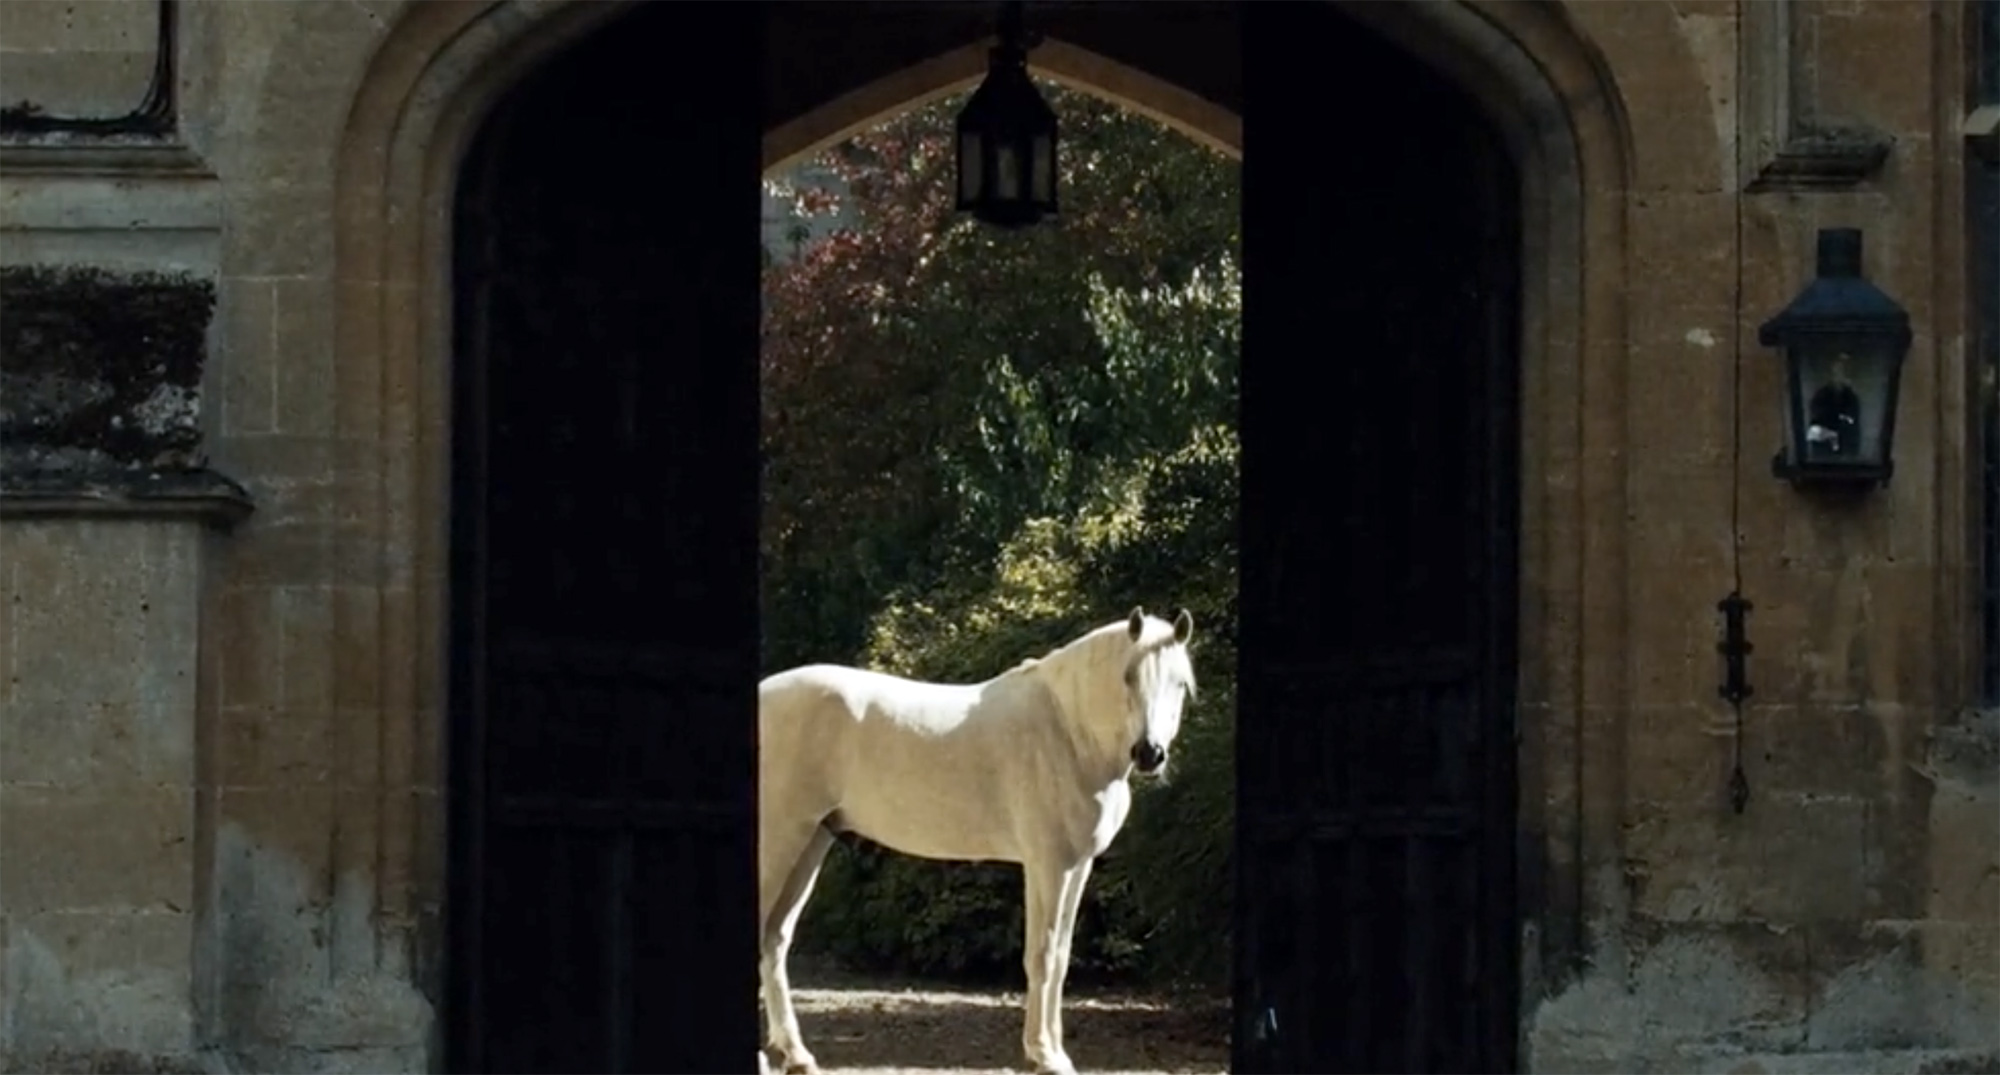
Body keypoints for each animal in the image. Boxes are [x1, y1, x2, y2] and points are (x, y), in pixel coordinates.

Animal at [755, 606, 1198, 1075]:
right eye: (1128, 676)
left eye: (1180, 683)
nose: (1149, 754)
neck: (1067, 733)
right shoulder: (1048, 865)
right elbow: (1041, 955)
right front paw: (1043, 1054)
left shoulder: (1077, 866)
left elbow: (1061, 957)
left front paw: (1057, 1052)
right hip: (782, 839)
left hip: (811, 841)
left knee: (775, 940)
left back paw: (797, 1055)